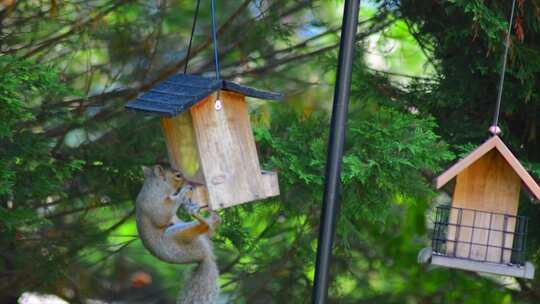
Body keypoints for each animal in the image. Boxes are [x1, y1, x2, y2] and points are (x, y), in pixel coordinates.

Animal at [136, 165, 220, 304]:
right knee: (205, 227)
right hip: (176, 235)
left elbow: (173, 216)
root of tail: (204, 255)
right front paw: (183, 193)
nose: (192, 184)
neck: (156, 187)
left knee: (211, 227)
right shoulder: (153, 203)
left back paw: (212, 216)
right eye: (178, 176)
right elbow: (162, 215)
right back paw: (201, 215)